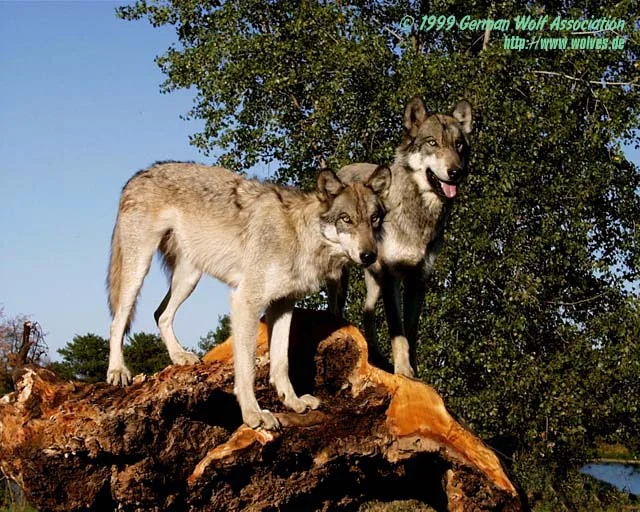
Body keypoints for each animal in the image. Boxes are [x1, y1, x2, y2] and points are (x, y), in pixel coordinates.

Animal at [106, 161, 391, 429]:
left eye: (374, 218)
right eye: (346, 219)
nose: (369, 255)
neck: (299, 235)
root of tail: (139, 175)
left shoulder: (283, 305)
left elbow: (281, 362)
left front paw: (292, 401)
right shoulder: (246, 303)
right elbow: (247, 370)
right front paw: (253, 414)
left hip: (189, 278)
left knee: (160, 314)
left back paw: (179, 356)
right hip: (138, 272)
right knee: (118, 321)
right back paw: (118, 371)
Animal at [328, 97, 472, 377]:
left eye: (459, 145)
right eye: (432, 143)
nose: (455, 172)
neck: (420, 216)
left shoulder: (418, 278)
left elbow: (411, 331)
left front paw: (414, 374)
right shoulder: (391, 275)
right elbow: (398, 330)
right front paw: (404, 371)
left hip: (373, 279)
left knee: (367, 311)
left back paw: (376, 358)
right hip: (344, 274)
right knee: (336, 306)